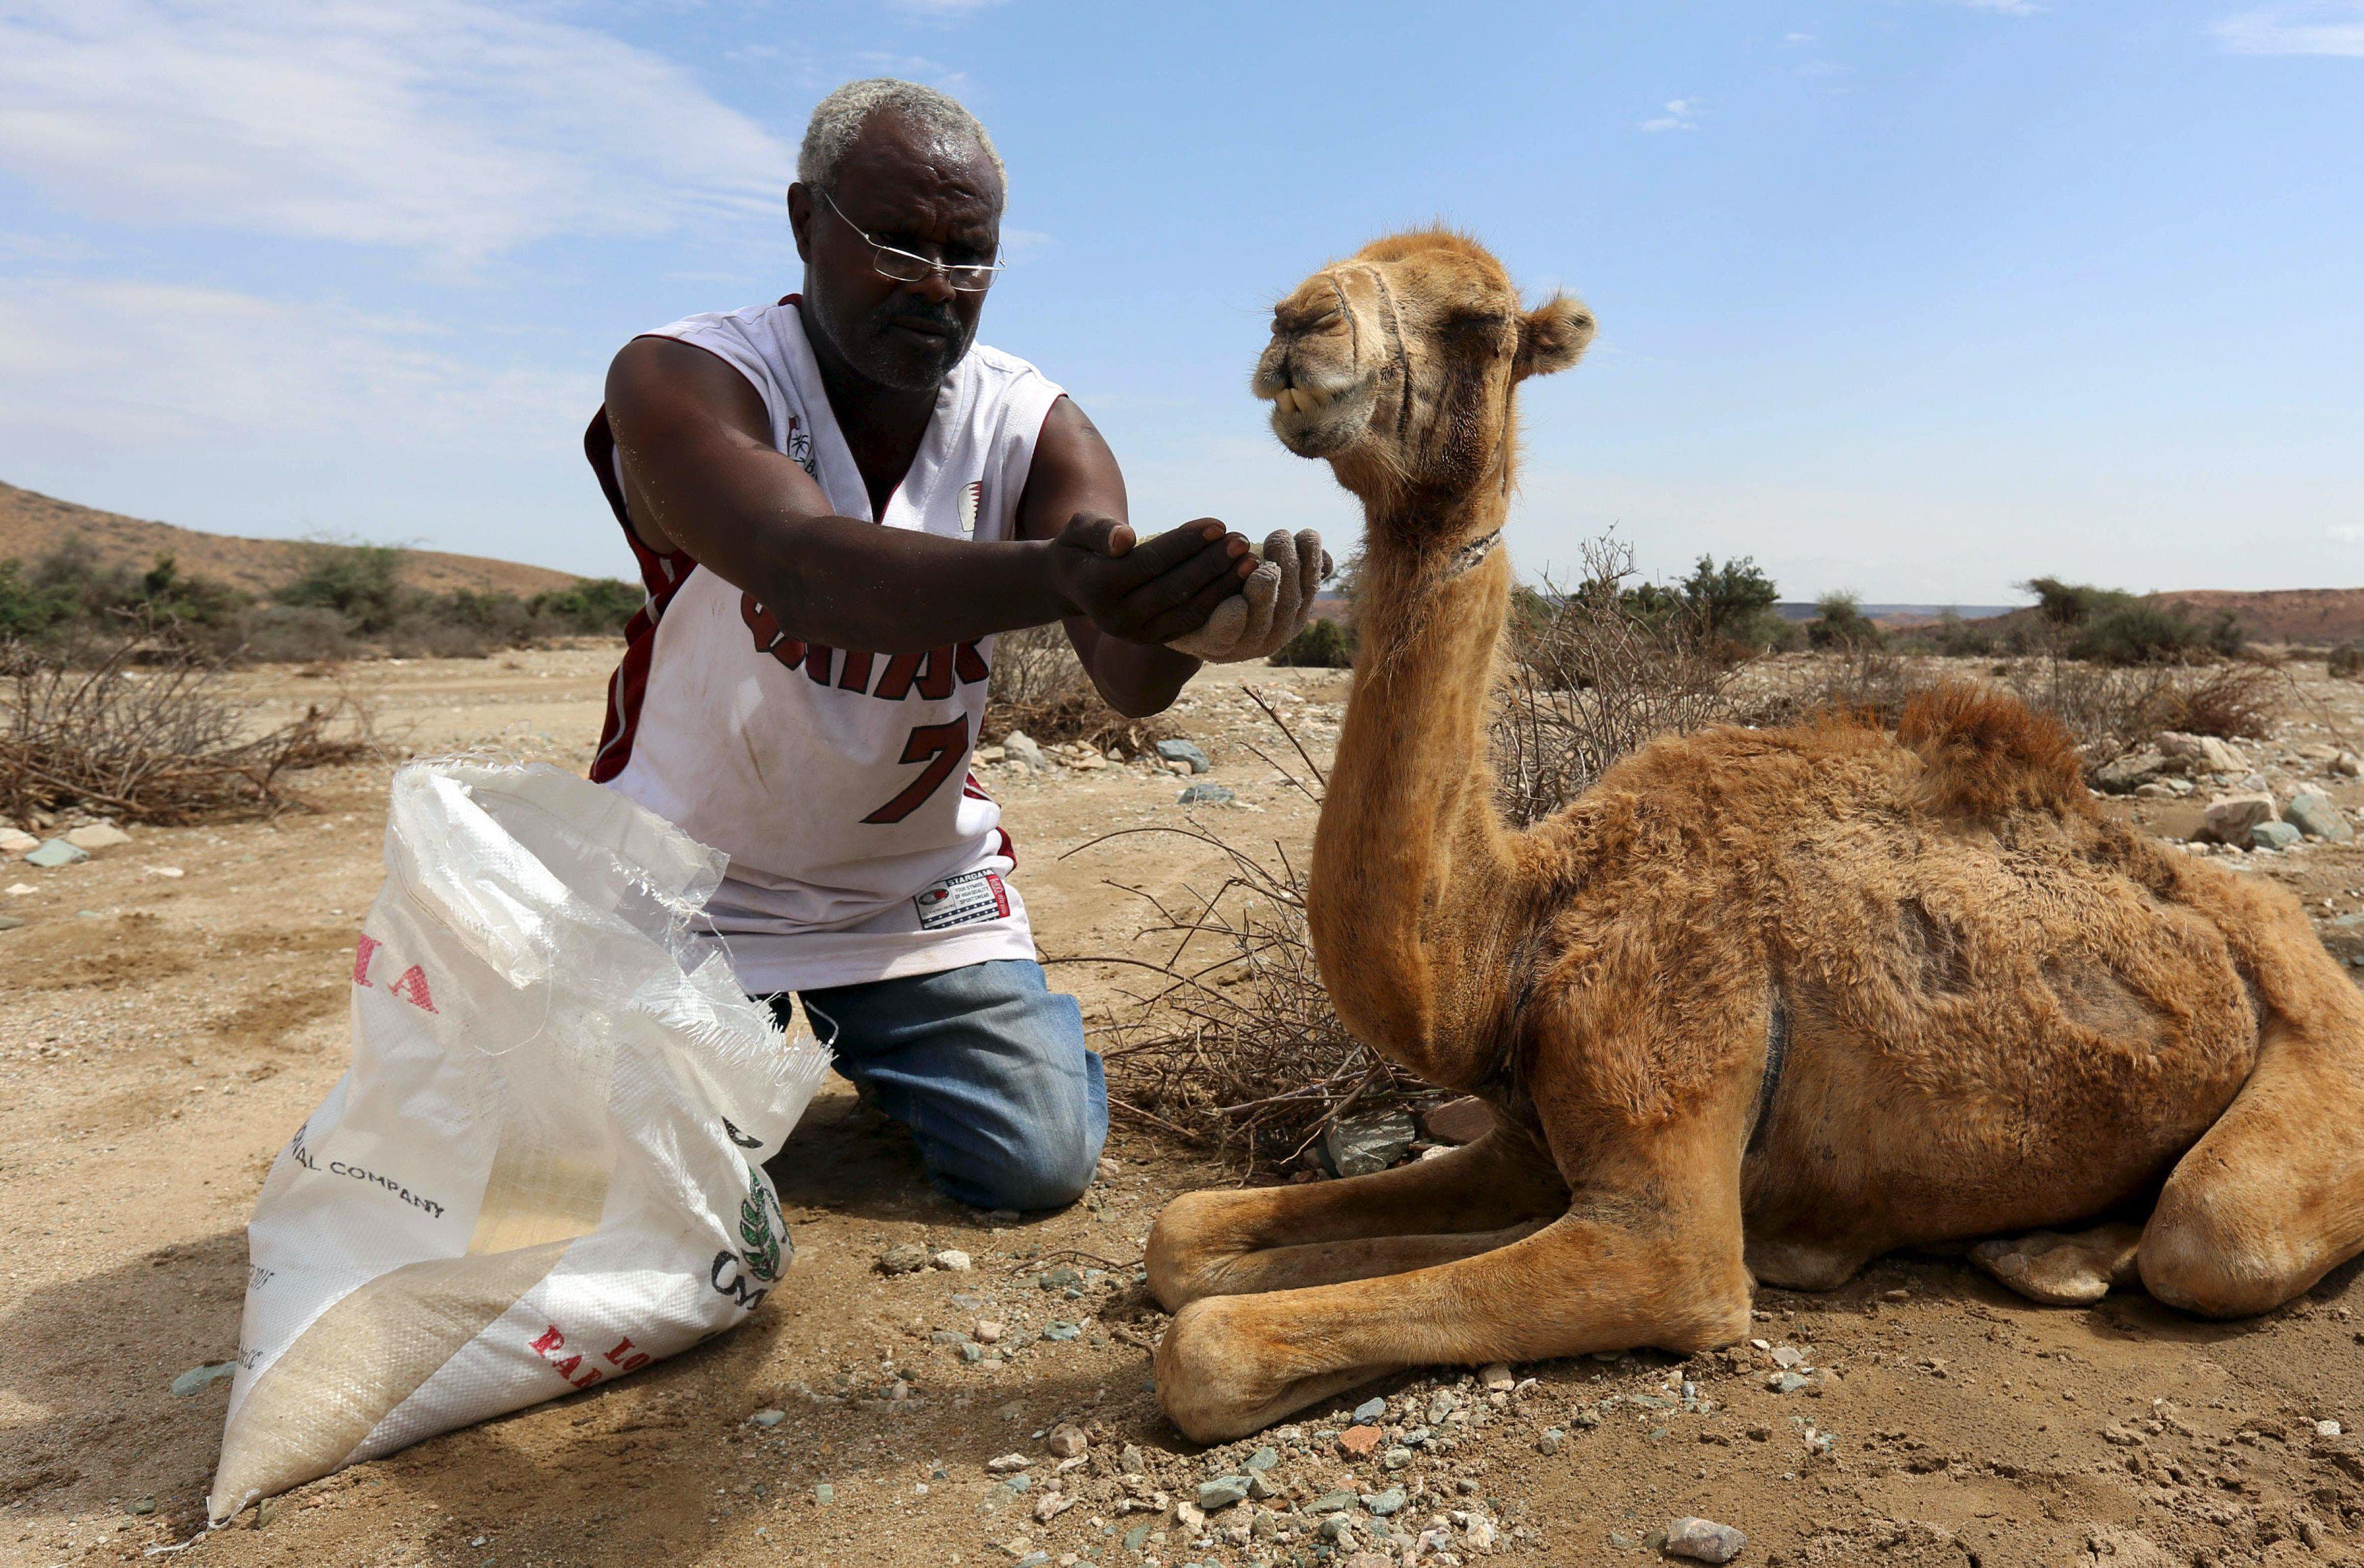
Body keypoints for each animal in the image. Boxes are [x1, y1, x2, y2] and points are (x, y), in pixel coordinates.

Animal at [1139, 230, 2364, 1447]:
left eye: (1482, 321)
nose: (1301, 329)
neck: (1522, 928)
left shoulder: (1667, 1209)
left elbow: (1208, 1340)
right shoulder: (1523, 1138)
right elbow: (1182, 1238)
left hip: (2309, 1052)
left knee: (2211, 1231)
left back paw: (2035, 1256)